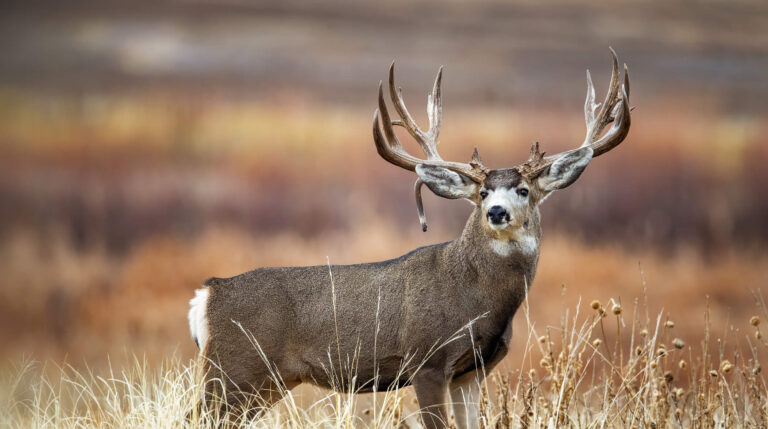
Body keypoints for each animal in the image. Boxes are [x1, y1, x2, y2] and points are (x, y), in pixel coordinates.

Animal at [188, 49, 631, 429]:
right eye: (483, 193)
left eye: (523, 190)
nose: (496, 212)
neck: (478, 300)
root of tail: (208, 293)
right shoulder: (426, 360)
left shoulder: (473, 371)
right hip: (235, 369)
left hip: (261, 381)